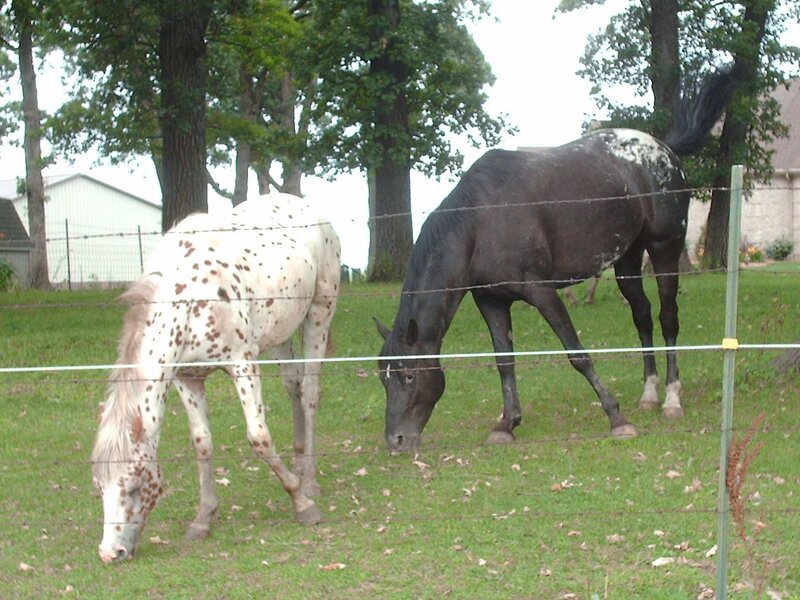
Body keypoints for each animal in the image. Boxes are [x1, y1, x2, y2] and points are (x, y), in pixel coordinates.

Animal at [91, 194, 341, 563]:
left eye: (134, 486)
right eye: (99, 486)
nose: (111, 553)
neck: (188, 298)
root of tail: (313, 211)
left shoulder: (243, 364)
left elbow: (259, 438)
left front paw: (301, 502)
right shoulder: (187, 379)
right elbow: (203, 444)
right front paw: (203, 518)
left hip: (319, 313)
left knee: (310, 392)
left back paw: (309, 480)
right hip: (281, 331)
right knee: (293, 385)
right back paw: (298, 460)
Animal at [376, 68, 739, 452]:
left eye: (409, 375)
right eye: (383, 377)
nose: (396, 440)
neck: (480, 221)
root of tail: (662, 148)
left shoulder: (542, 292)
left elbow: (576, 353)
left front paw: (616, 417)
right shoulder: (491, 300)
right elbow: (504, 361)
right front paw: (507, 423)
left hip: (664, 248)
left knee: (668, 317)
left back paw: (671, 398)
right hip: (626, 260)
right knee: (642, 316)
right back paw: (649, 394)